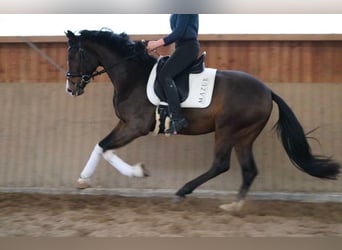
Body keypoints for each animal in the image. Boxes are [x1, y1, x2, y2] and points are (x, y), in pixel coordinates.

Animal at [65, 30, 340, 212]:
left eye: (73, 56)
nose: (71, 88)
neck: (133, 77)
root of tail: (268, 91)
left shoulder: (135, 127)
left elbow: (105, 147)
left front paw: (136, 172)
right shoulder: (125, 124)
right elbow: (102, 147)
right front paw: (84, 180)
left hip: (227, 130)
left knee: (220, 164)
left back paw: (182, 192)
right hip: (244, 135)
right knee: (249, 169)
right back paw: (234, 205)